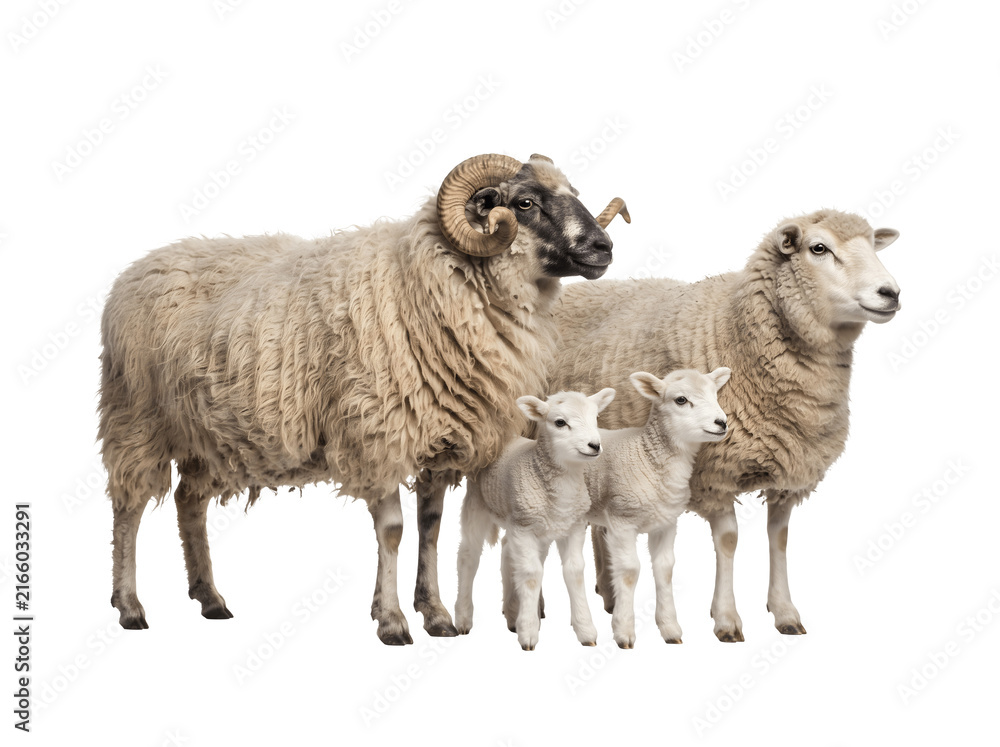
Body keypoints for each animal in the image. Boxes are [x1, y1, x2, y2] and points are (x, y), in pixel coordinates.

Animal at [454, 387, 615, 650]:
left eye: (595, 418)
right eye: (560, 422)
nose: (594, 445)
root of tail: (504, 438)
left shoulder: (573, 526)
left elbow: (574, 572)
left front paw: (585, 630)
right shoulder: (525, 528)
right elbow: (531, 574)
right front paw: (528, 632)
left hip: (530, 523)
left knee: (508, 551)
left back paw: (512, 615)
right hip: (478, 506)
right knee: (468, 556)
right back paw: (463, 618)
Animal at [582, 368, 730, 649]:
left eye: (715, 394)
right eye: (681, 400)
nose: (722, 422)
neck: (648, 456)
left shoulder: (666, 522)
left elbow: (665, 569)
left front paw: (670, 628)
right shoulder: (622, 520)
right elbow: (630, 571)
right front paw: (624, 632)